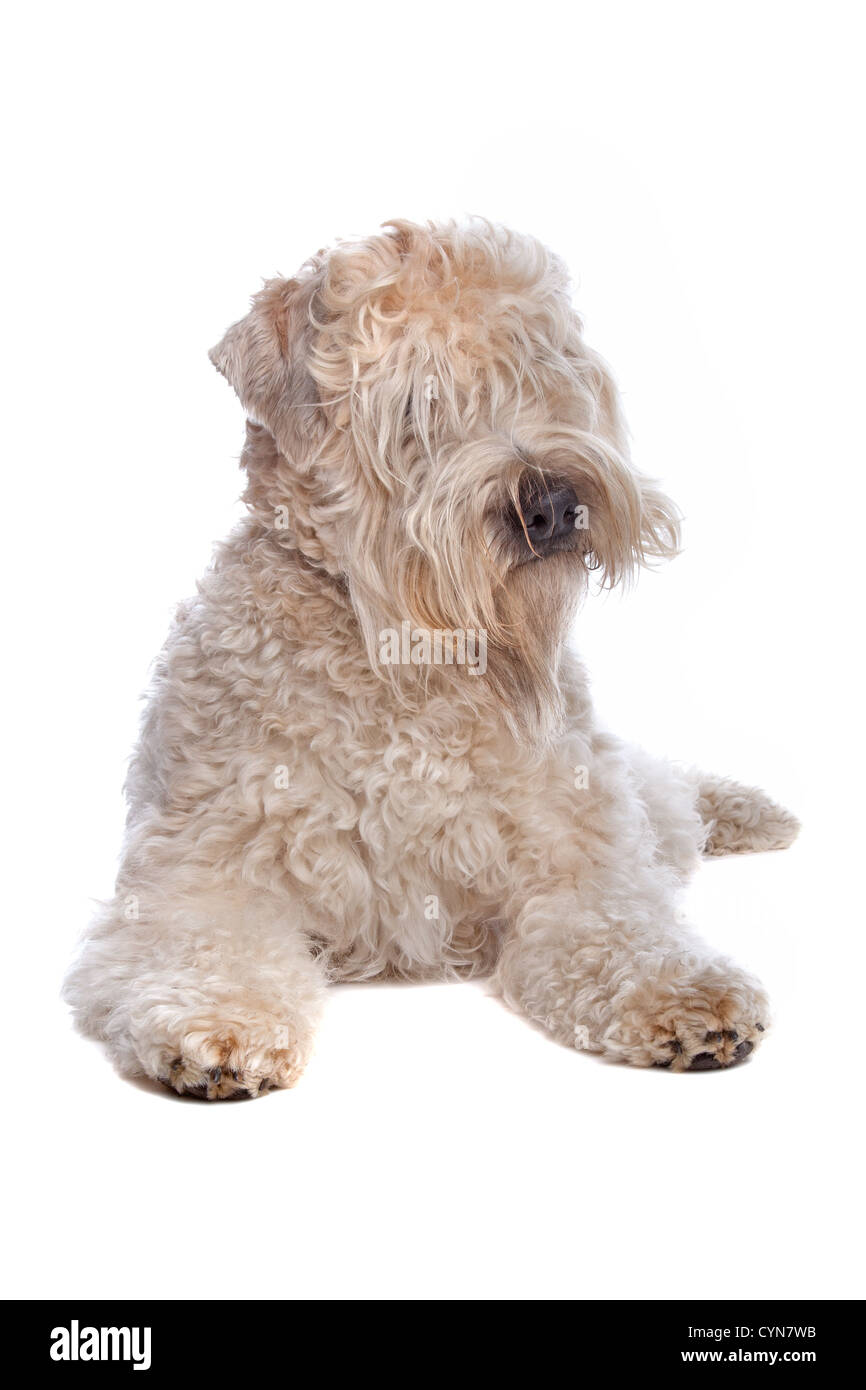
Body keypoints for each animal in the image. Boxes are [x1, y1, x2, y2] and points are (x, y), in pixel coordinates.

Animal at [64, 216, 800, 1095]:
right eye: (419, 400)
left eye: (545, 366)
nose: (554, 505)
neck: (410, 666)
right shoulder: (202, 869)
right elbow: (208, 948)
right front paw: (219, 1027)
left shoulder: (577, 859)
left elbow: (618, 930)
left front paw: (688, 996)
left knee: (668, 793)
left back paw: (752, 809)